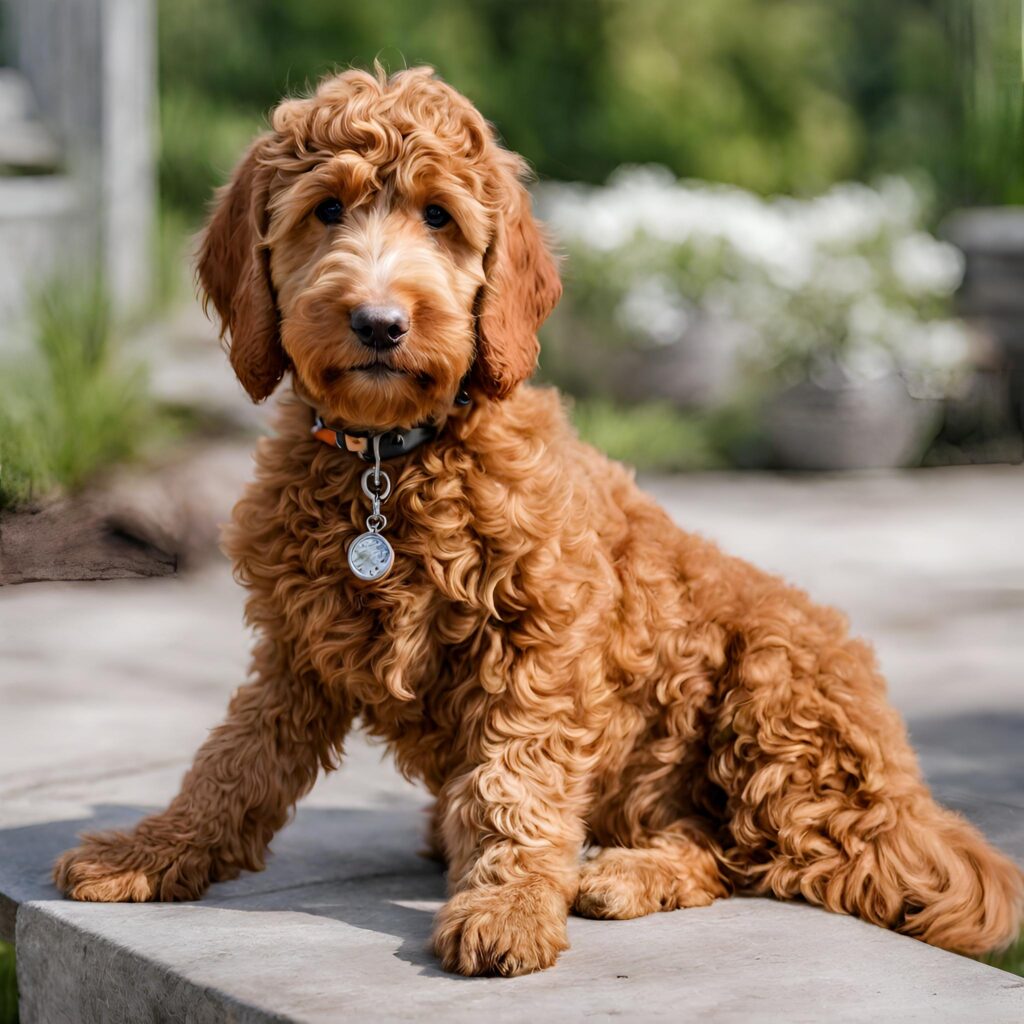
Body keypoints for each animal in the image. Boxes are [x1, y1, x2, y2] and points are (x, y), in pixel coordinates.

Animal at [56, 66, 1024, 974]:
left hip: (774, 687)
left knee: (772, 858)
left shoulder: (535, 643)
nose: (379, 322)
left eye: (439, 218)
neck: (387, 459)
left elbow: (514, 783)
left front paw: (509, 904)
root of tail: (909, 800)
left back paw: (620, 872)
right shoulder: (298, 647)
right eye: (325, 210)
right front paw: (153, 849)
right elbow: (235, 760)